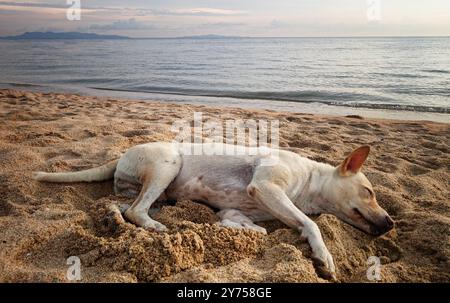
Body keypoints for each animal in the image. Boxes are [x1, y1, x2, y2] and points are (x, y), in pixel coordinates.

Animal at [34, 142, 394, 280]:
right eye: (369, 192)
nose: (391, 223)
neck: (310, 183)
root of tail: (121, 155)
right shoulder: (266, 187)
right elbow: (312, 224)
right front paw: (323, 257)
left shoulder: (240, 208)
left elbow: (256, 227)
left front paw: (239, 231)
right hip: (168, 163)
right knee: (137, 211)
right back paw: (154, 228)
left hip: (157, 192)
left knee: (124, 206)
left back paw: (111, 217)